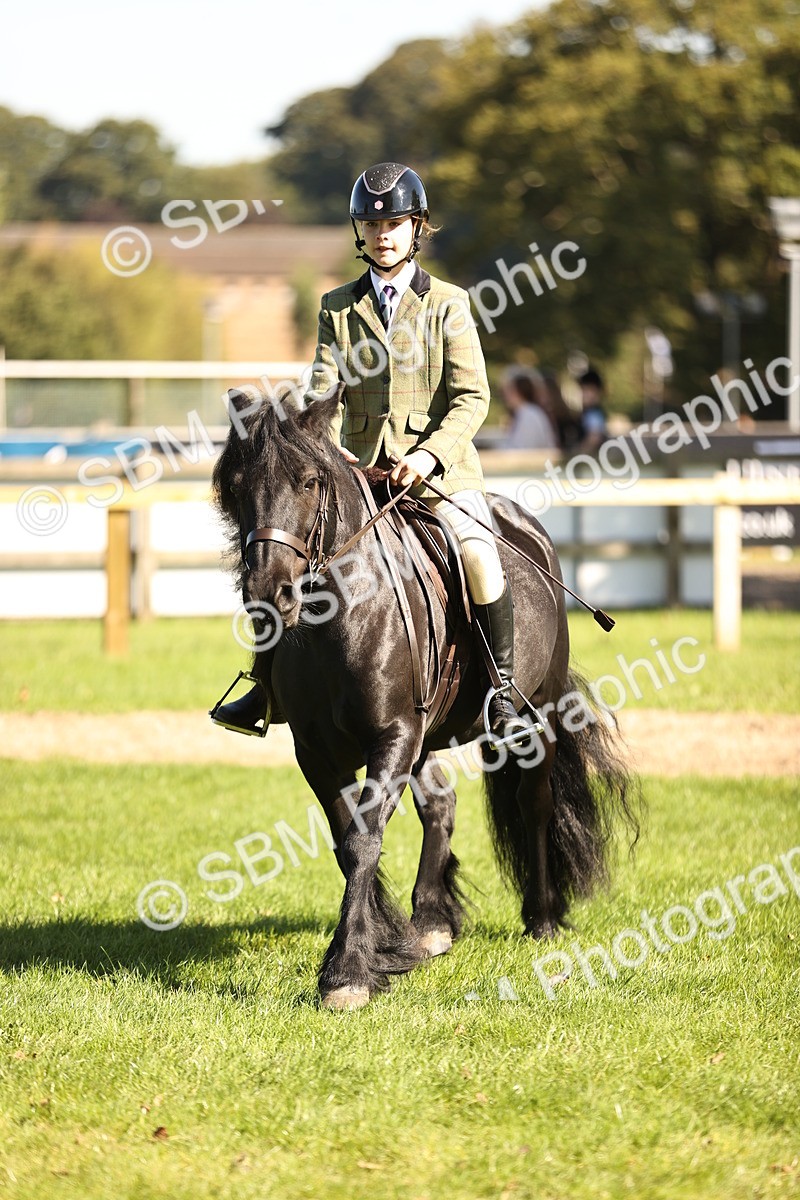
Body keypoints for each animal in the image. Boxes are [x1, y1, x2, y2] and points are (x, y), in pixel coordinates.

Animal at [211, 385, 640, 1009]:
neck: (339, 618)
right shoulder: (317, 750)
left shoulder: (393, 735)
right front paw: (385, 940)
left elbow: (364, 841)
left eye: (310, 481)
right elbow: (346, 839)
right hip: (428, 733)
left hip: (537, 713)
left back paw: (541, 919)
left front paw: (346, 972)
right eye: (237, 486)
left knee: (534, 803)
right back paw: (433, 921)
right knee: (441, 804)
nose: (271, 594)